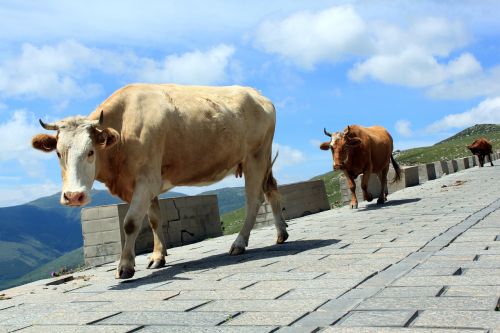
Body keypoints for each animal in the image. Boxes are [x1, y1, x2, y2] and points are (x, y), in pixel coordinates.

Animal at [31, 83, 290, 278]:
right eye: (58, 153)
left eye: (90, 152)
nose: (74, 196)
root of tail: (258, 94)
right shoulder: (145, 183)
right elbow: (154, 219)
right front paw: (158, 257)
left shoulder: (146, 179)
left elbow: (131, 223)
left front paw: (125, 266)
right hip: (262, 159)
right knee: (271, 189)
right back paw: (281, 234)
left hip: (255, 157)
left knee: (254, 200)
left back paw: (239, 243)